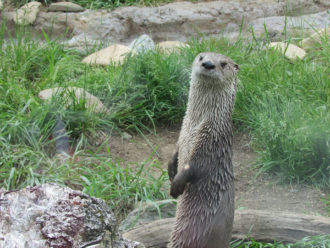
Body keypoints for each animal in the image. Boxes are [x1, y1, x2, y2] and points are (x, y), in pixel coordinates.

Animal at [168, 51, 237, 247]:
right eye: (201, 57)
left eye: (223, 63)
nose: (208, 64)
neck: (195, 124)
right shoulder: (182, 133)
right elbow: (175, 151)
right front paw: (171, 170)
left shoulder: (211, 140)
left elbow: (196, 166)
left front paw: (177, 183)